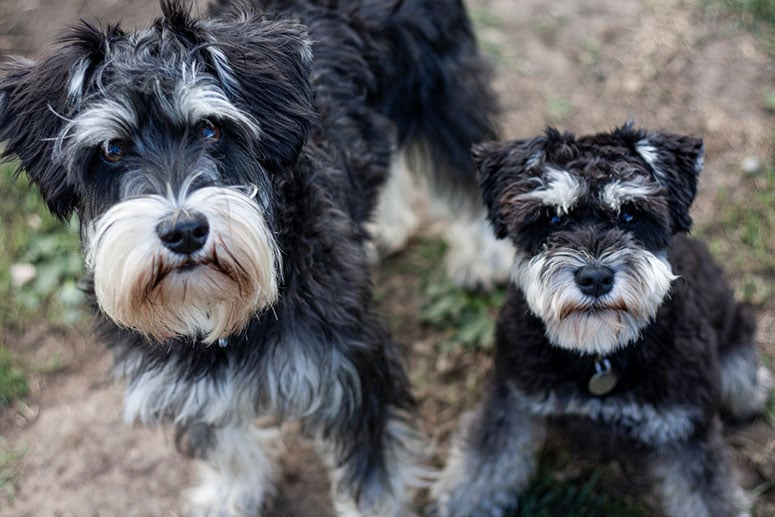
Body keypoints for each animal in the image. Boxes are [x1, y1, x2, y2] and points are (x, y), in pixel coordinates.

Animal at [0, 0, 506, 512]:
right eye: (112, 149)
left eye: (210, 128)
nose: (184, 231)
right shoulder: (192, 381)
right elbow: (228, 447)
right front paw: (228, 496)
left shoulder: (352, 371)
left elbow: (373, 477)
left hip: (441, 92)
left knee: (463, 172)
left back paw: (485, 258)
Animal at [434, 125, 772, 516]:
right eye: (552, 217)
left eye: (630, 214)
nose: (595, 278)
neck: (599, 353)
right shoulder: (512, 399)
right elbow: (487, 462)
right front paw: (463, 501)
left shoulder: (686, 427)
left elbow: (707, 496)